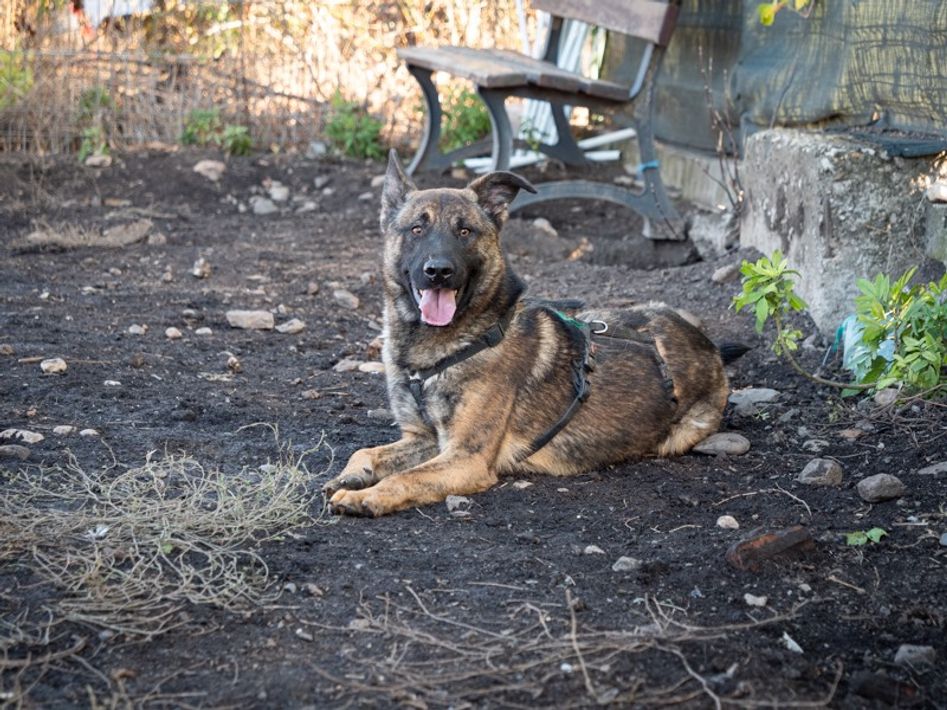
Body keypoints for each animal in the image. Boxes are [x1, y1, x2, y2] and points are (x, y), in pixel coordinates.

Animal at [324, 150, 746, 517]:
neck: (443, 347)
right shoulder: (422, 438)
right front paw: (351, 476)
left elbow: (407, 478)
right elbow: (365, 452)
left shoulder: (464, 458)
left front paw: (365, 496)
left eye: (465, 231)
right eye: (416, 228)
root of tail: (708, 347)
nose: (439, 271)